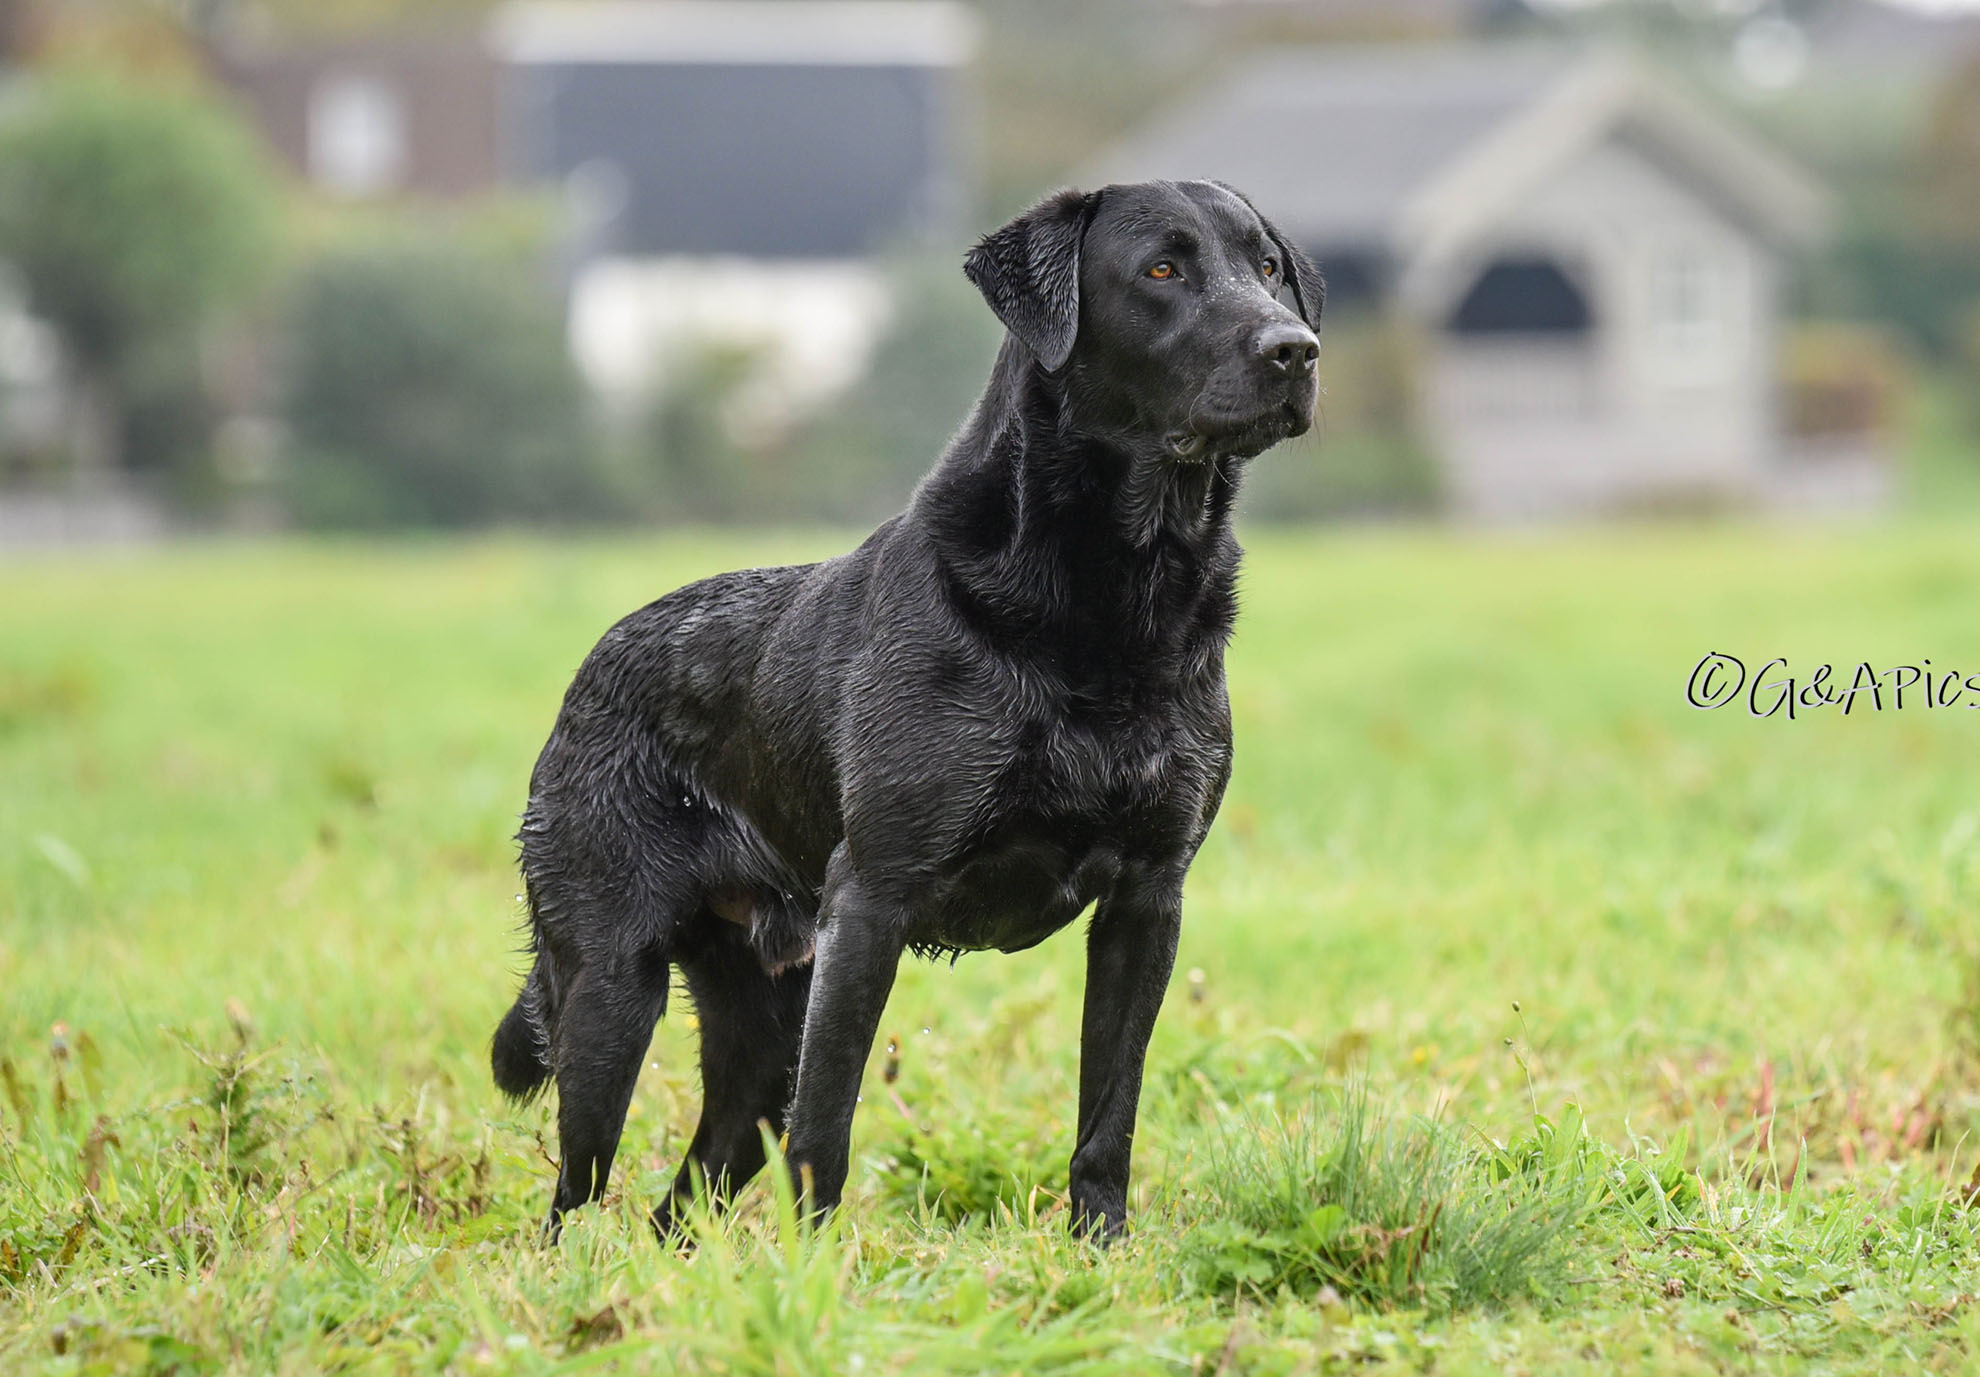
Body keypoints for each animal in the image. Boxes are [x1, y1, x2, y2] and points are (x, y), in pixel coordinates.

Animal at [489, 177, 1322, 1244]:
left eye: (1268, 267)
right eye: (1162, 269)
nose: (1297, 348)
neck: (1117, 596)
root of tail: (590, 671)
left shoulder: (1149, 897)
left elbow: (1110, 1108)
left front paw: (1100, 1247)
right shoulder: (871, 899)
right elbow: (829, 1130)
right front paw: (816, 1272)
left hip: (764, 1028)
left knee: (686, 1192)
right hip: (610, 987)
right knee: (577, 1192)